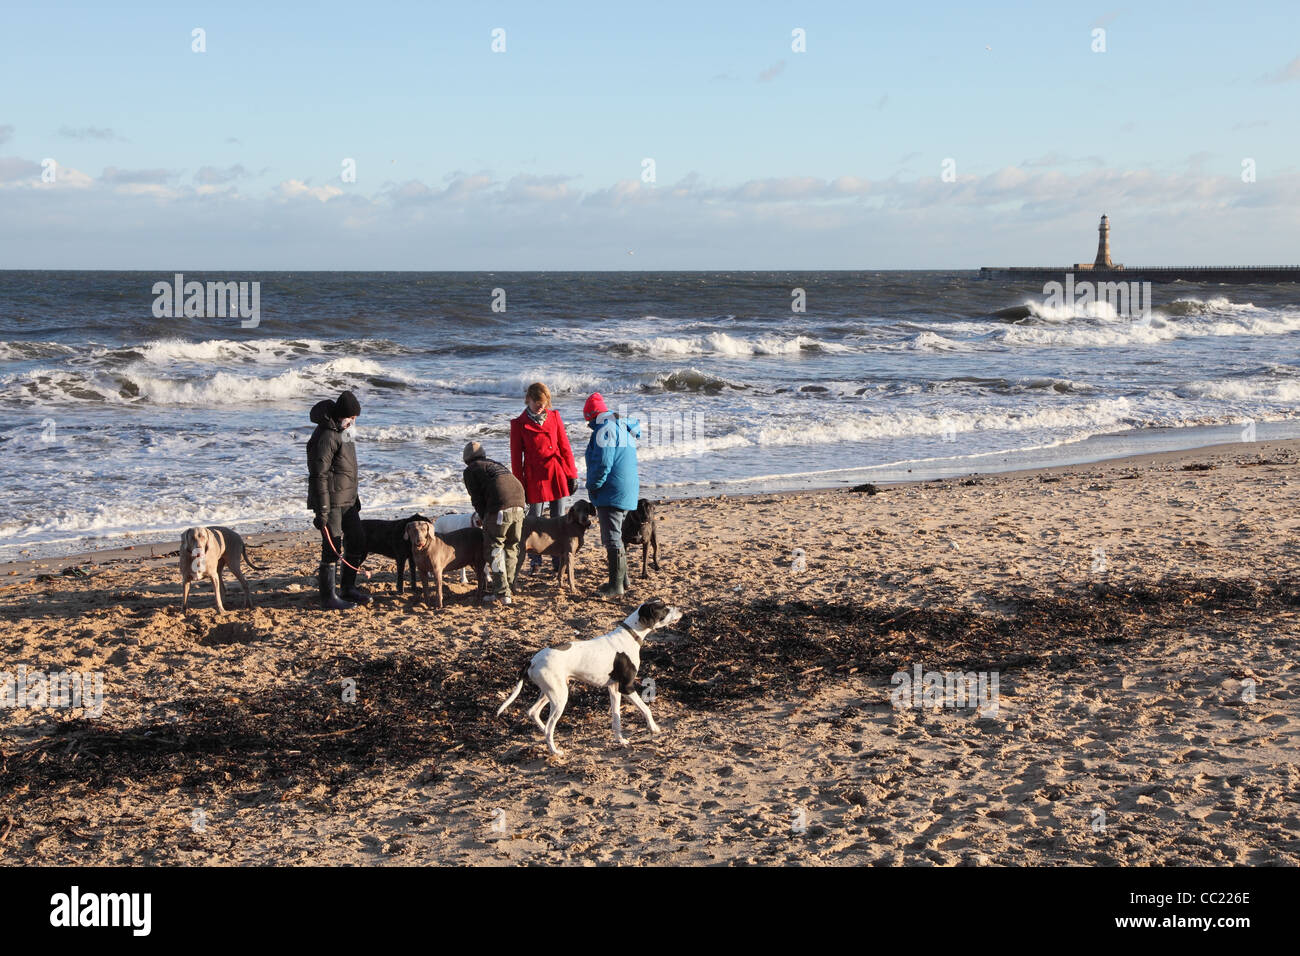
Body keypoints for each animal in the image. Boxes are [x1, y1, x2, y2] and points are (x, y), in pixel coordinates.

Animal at [491, 598, 686, 754]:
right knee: (548, 727)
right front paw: (654, 728)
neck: (629, 635)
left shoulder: (614, 689)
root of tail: (532, 661)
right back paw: (555, 751)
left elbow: (616, 718)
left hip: (552, 692)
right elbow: (646, 709)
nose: (680, 609)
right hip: (560, 697)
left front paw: (620, 740)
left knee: (534, 713)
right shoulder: (627, 687)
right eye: (664, 608)